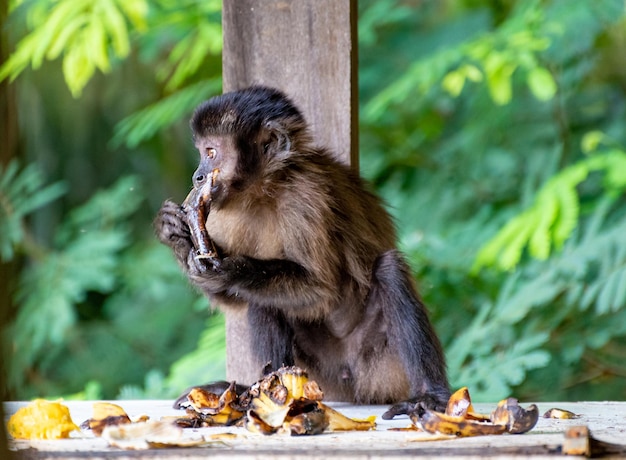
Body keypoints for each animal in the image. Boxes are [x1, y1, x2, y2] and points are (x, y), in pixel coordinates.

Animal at [155, 84, 448, 416]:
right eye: (203, 153)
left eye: (211, 152)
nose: (197, 176)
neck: (266, 188)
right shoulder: (220, 208)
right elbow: (231, 297)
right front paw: (175, 234)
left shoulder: (306, 196)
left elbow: (322, 289)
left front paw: (231, 269)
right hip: (320, 370)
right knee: (261, 298)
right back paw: (261, 390)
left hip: (379, 366)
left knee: (389, 271)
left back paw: (429, 394)